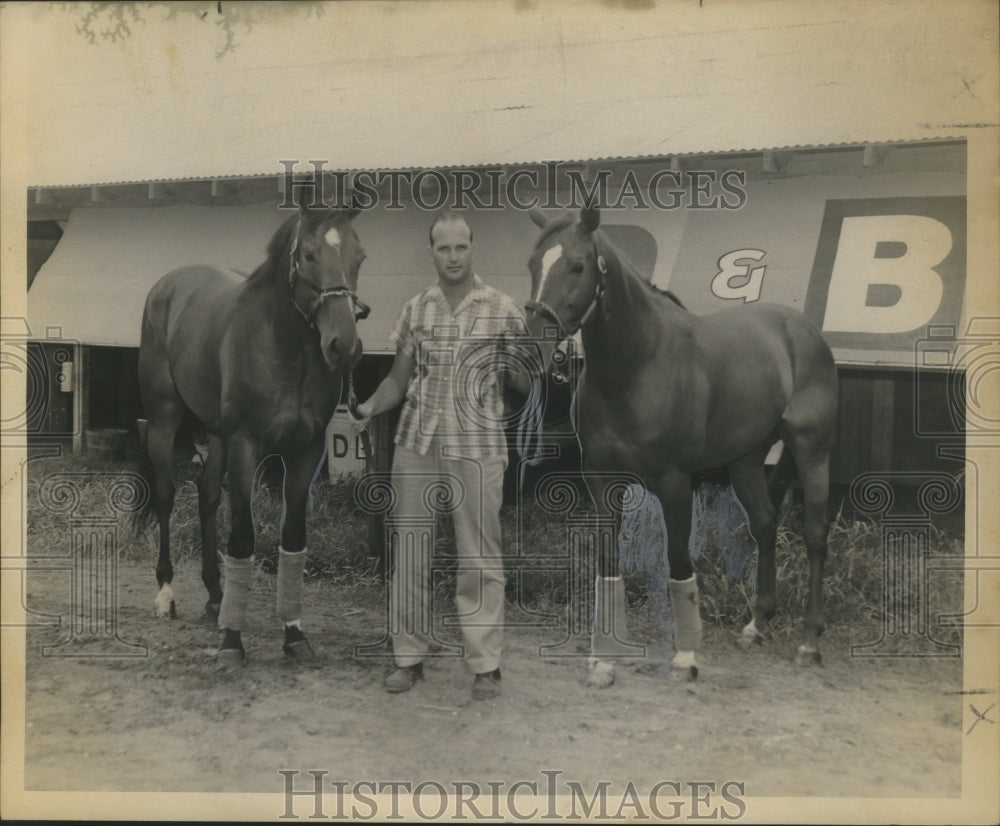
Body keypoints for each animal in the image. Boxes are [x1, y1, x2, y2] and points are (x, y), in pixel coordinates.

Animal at [135, 203, 366, 668]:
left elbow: (293, 538)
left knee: (206, 494)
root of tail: (167, 284)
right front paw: (232, 643)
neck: (285, 349)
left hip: (217, 434)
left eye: (359, 257)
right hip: (165, 419)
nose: (344, 346)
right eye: (308, 255)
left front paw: (294, 635)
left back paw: (215, 597)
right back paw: (166, 593)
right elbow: (242, 537)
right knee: (167, 494)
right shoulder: (246, 445)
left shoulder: (306, 452)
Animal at [524, 204, 836, 684]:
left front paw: (686, 656)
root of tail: (804, 331)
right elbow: (607, 564)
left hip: (812, 450)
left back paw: (809, 643)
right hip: (746, 461)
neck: (639, 366)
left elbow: (677, 559)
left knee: (816, 536)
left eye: (577, 265)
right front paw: (604, 658)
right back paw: (757, 625)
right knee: (765, 525)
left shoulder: (673, 483)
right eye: (533, 264)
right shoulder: (602, 481)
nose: (533, 337)